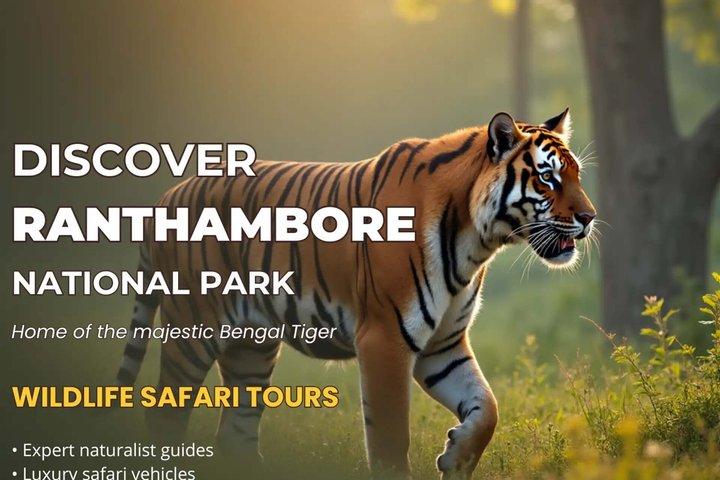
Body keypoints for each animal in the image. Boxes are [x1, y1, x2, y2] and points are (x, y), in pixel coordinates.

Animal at [116, 108, 596, 479]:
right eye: (548, 179)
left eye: (575, 175)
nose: (590, 217)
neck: (477, 240)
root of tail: (167, 196)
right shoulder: (386, 337)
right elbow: (390, 438)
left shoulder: (442, 345)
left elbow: (488, 408)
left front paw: (455, 457)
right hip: (193, 331)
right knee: (163, 416)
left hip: (252, 348)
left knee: (234, 435)